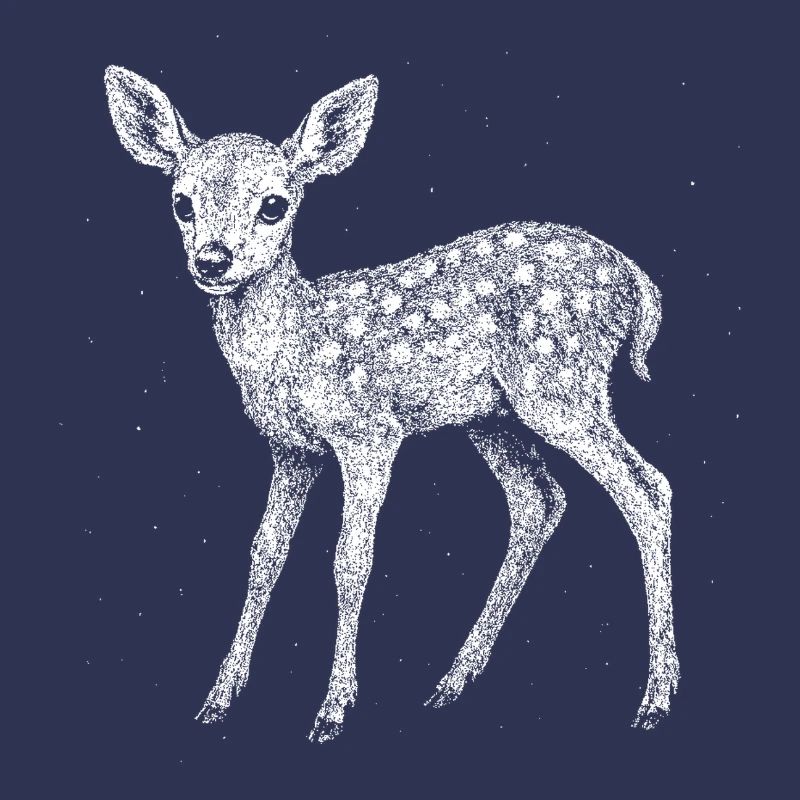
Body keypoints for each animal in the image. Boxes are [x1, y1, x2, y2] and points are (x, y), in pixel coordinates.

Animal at [104, 65, 679, 742]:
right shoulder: (291, 450)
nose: (213, 260)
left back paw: (656, 698)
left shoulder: (369, 434)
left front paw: (333, 708)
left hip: (561, 384)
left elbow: (350, 560)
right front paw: (219, 697)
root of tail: (639, 284)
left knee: (646, 487)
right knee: (540, 501)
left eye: (275, 204)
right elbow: (264, 553)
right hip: (494, 416)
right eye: (181, 202)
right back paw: (453, 681)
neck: (296, 344)